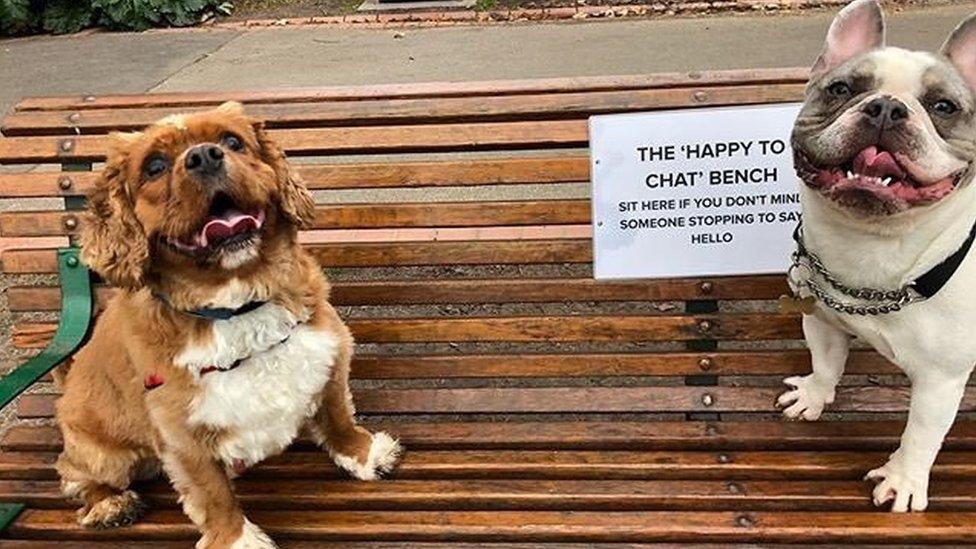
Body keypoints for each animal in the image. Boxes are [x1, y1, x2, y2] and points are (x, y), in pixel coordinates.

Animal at [54, 101, 400, 544]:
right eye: (154, 166)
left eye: (233, 141)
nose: (203, 156)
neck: (240, 303)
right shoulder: (180, 432)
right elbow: (212, 492)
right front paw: (237, 538)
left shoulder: (329, 355)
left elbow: (338, 415)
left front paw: (364, 453)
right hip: (101, 452)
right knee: (75, 475)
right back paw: (109, 504)